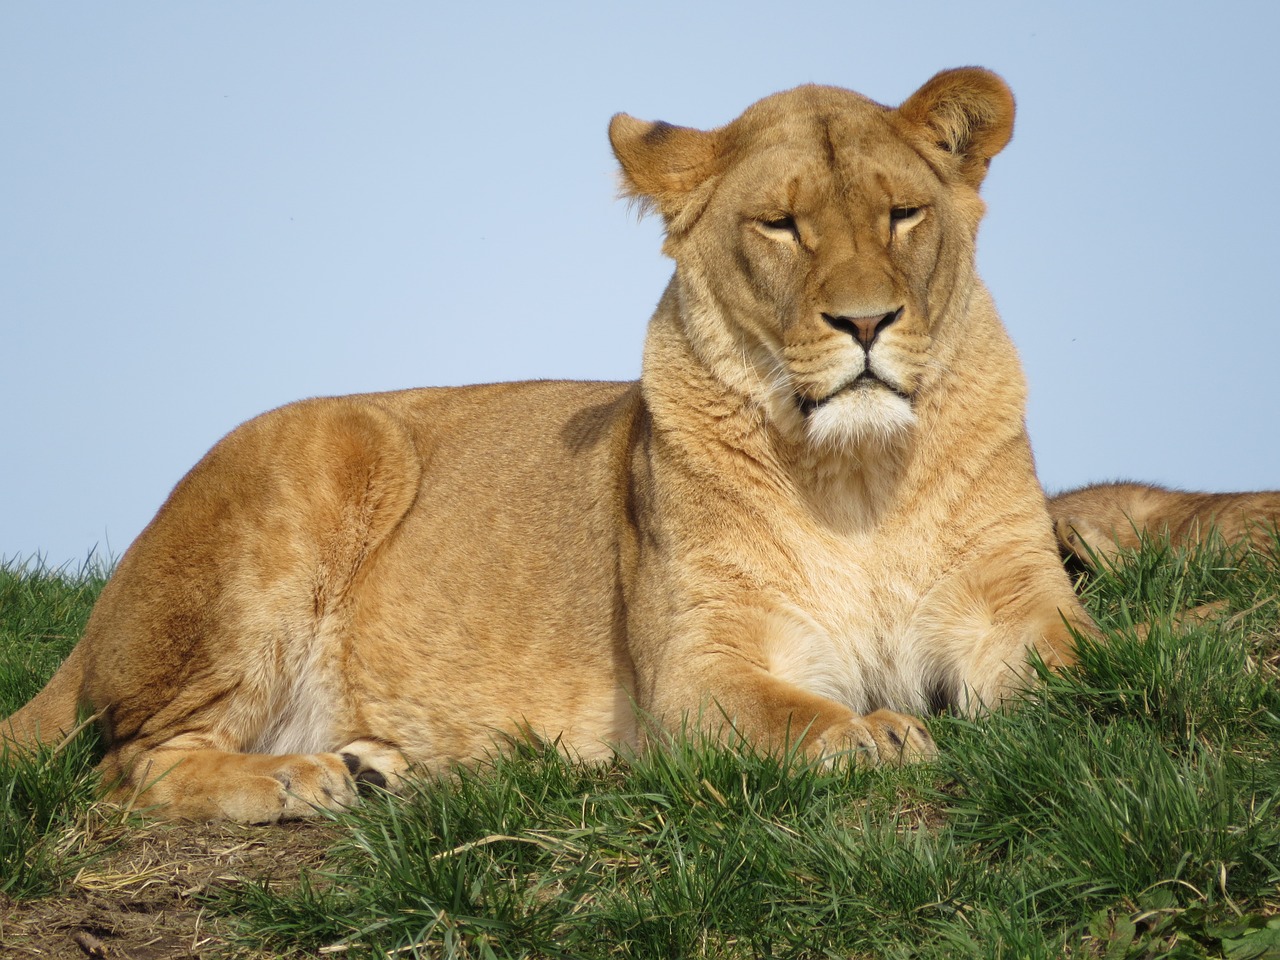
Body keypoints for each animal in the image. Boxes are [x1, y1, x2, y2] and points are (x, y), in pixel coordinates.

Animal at [5, 69, 1274, 819]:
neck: (857, 476)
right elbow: (799, 718)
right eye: (780, 224)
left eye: (902, 212)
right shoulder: (695, 675)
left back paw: (364, 763)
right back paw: (305, 779)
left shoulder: (1013, 608)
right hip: (313, 464)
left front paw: (1188, 662)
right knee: (126, 762)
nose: (865, 323)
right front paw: (874, 738)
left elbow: (1099, 663)